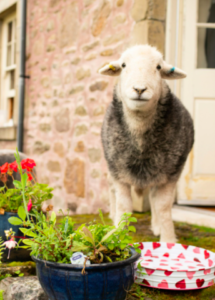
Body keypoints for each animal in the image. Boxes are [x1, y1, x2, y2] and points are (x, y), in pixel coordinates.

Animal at [99, 44, 195, 243]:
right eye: (123, 65)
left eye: (158, 67)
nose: (139, 89)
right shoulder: (119, 173)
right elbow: (124, 206)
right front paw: (117, 236)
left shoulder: (171, 174)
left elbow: (163, 206)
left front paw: (168, 239)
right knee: (111, 189)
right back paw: (112, 216)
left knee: (153, 198)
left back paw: (156, 226)